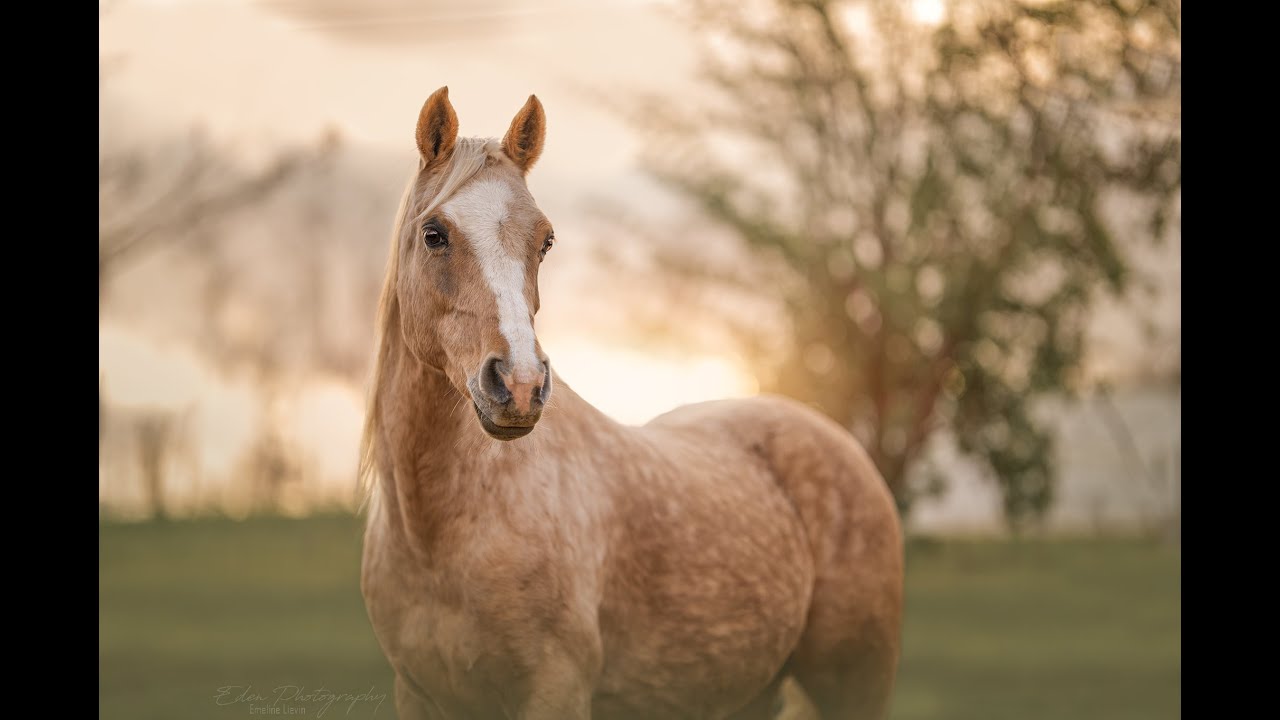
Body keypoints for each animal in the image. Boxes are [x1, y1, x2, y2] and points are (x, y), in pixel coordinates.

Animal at [359, 87, 904, 720]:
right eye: (434, 234)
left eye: (545, 240)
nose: (518, 385)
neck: (443, 534)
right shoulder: (419, 695)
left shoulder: (555, 691)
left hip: (854, 684)